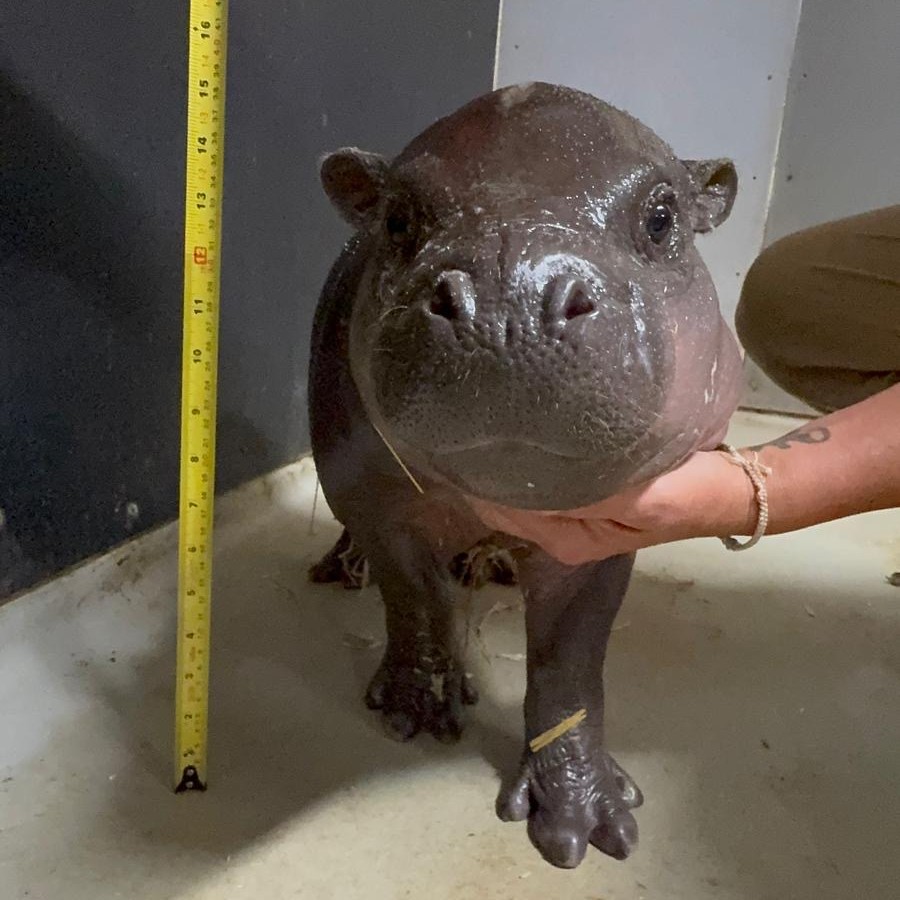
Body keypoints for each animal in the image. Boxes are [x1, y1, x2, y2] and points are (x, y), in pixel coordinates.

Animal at [308, 82, 743, 869]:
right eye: (397, 216)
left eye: (663, 216)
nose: (509, 299)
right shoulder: (376, 500)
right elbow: (414, 601)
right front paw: (415, 712)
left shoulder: (602, 537)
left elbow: (571, 662)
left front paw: (586, 822)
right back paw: (342, 570)